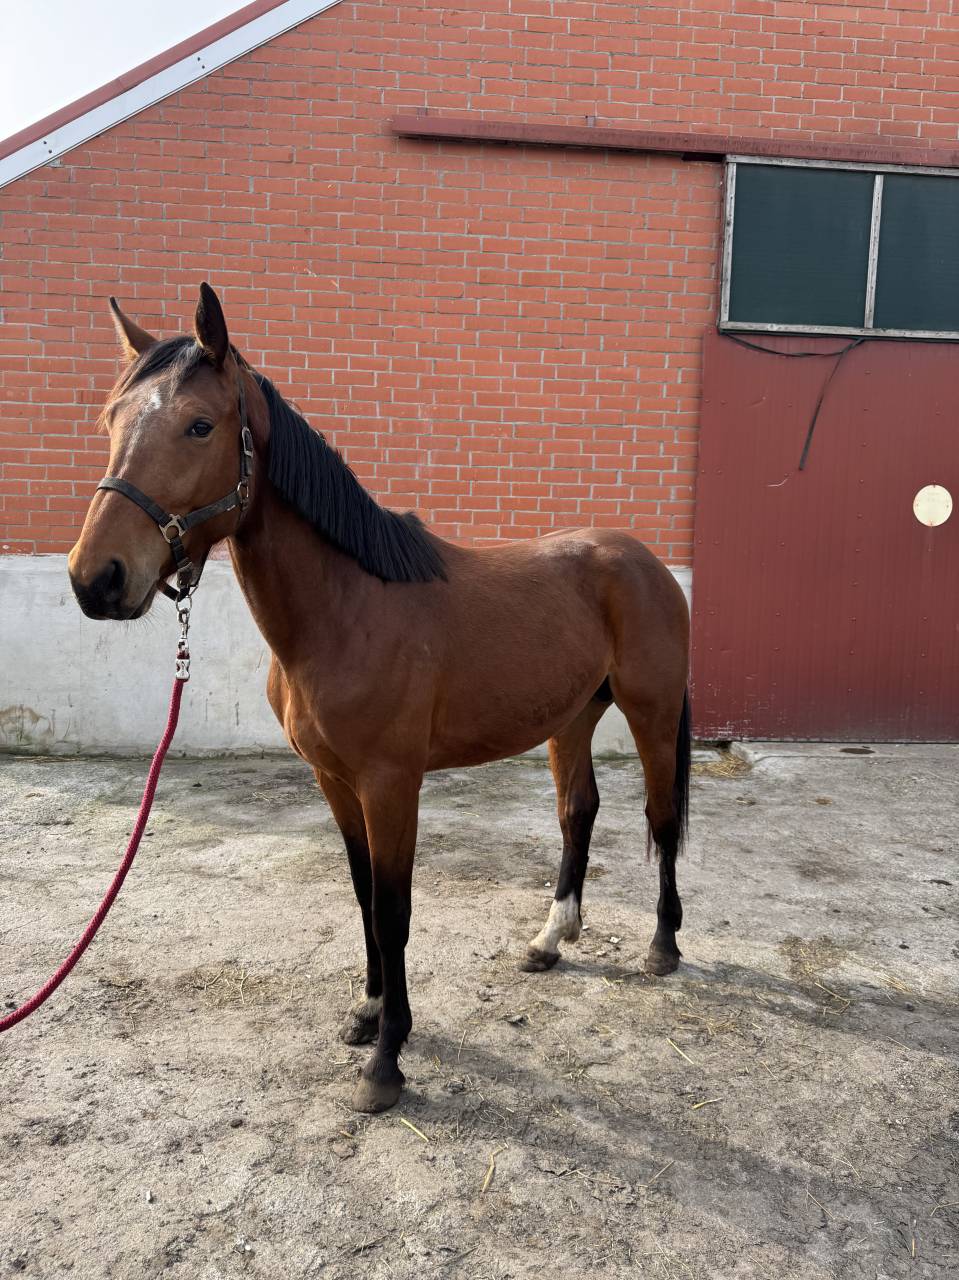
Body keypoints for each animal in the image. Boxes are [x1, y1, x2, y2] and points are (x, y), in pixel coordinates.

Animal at [68, 284, 692, 1113]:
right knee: (577, 813)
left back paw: (661, 945)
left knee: (659, 817)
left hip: (651, 713)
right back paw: (550, 938)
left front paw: (387, 1060)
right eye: (111, 419)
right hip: (571, 720)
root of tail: (643, 560)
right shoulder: (335, 781)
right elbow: (363, 896)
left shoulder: (391, 785)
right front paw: (366, 1014)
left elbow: (394, 911)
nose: (95, 578)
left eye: (198, 425)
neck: (346, 608)